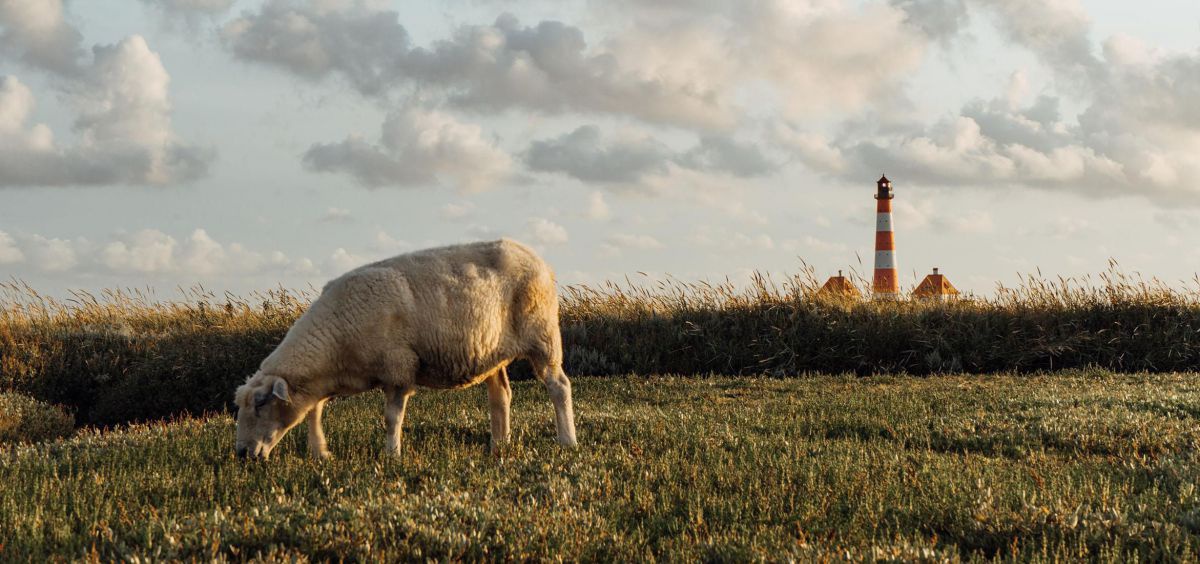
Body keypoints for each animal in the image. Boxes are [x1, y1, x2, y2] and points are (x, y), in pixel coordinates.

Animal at [232, 237, 576, 458]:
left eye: (261, 404)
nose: (241, 454)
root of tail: (537, 258)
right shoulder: (329, 379)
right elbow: (314, 412)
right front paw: (321, 453)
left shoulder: (398, 367)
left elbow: (391, 417)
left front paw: (392, 455)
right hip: (492, 351)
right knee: (501, 394)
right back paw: (499, 446)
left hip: (543, 335)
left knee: (559, 386)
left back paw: (567, 441)